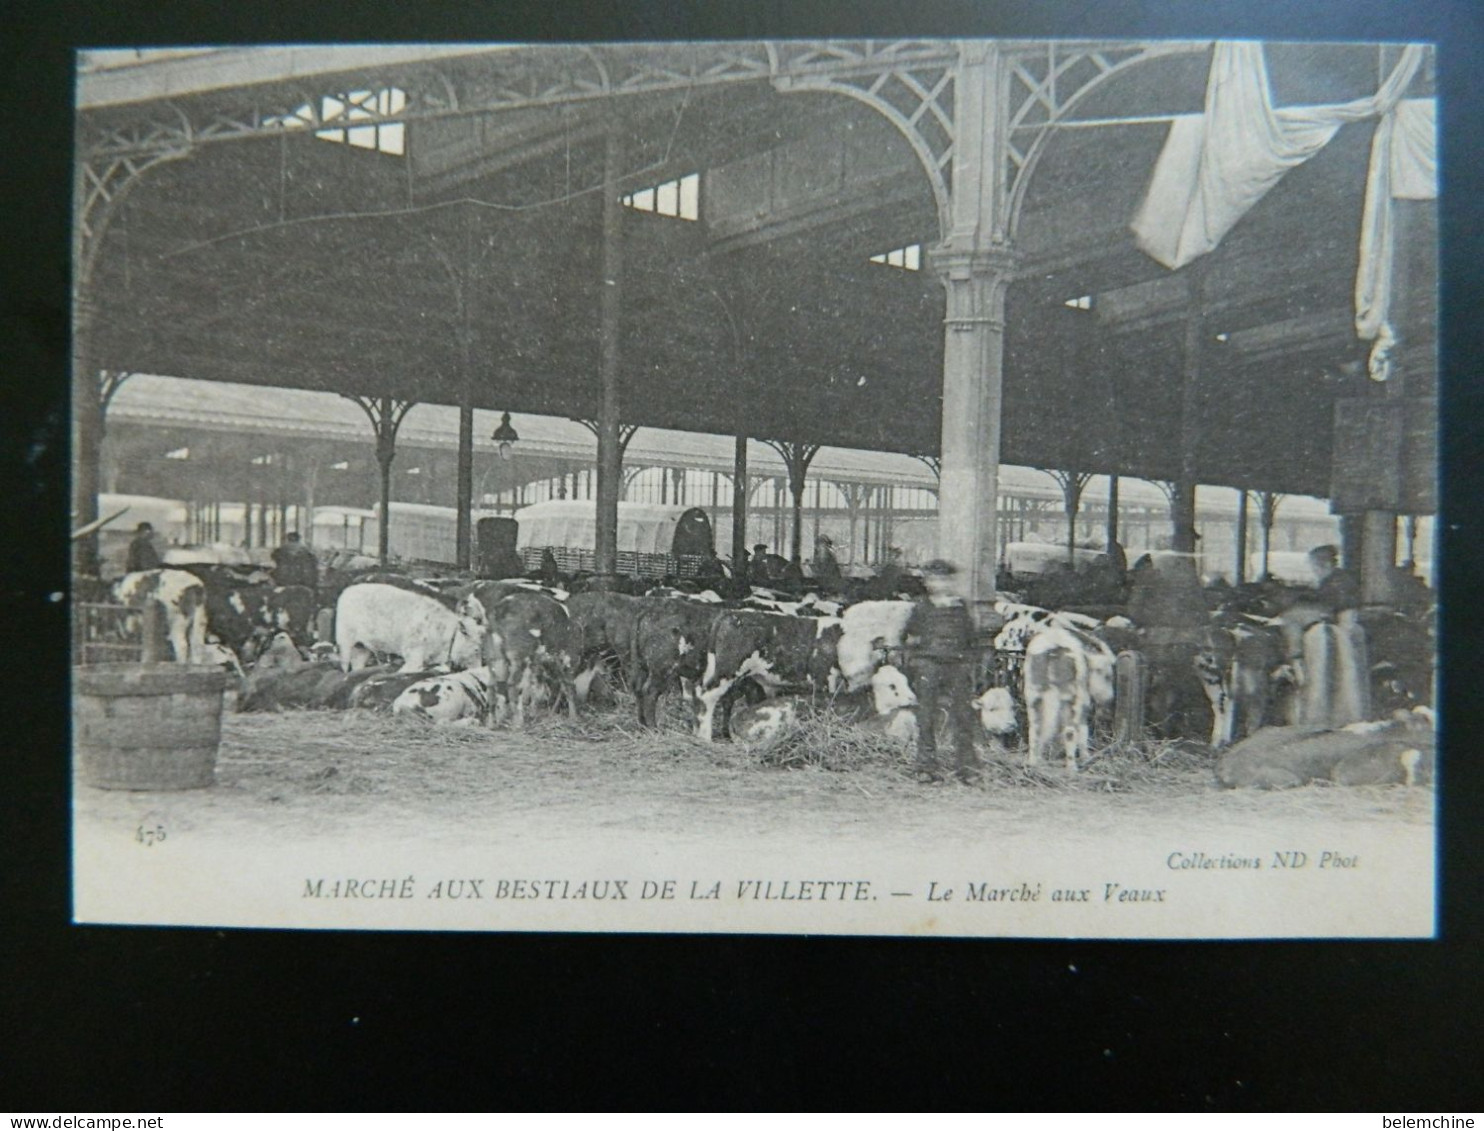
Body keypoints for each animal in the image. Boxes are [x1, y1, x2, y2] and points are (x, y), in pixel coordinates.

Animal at [335, 581, 486, 670]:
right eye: (476, 649)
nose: (479, 668)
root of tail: (347, 591)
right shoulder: (413, 655)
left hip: (362, 648)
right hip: (345, 642)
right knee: (344, 665)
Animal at [1020, 620, 1115, 771]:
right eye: (1108, 676)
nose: (1110, 698)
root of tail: (1052, 649)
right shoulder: (1083, 703)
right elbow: (1083, 730)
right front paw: (1085, 757)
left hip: (1033, 696)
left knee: (1035, 728)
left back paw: (1033, 762)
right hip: (1072, 699)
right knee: (1070, 732)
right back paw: (1072, 768)